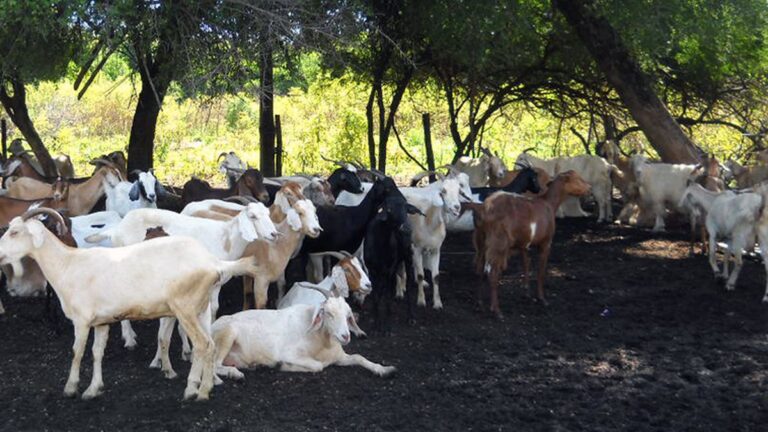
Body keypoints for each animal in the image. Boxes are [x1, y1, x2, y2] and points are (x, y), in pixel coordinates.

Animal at [0, 208, 260, 400]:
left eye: (15, 232)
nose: (0, 253)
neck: (68, 264)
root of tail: (212, 262)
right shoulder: (101, 322)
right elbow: (97, 353)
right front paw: (94, 389)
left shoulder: (82, 320)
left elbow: (77, 352)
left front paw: (71, 388)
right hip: (201, 309)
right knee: (211, 346)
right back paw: (204, 386)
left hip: (185, 308)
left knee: (203, 345)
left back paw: (197, 391)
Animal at [465, 171, 590, 318]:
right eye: (578, 179)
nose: (589, 187)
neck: (548, 204)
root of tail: (483, 207)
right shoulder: (546, 242)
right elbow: (541, 271)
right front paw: (542, 299)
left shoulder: (524, 244)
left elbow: (526, 264)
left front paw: (526, 292)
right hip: (498, 243)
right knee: (492, 273)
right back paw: (497, 311)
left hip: (482, 241)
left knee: (480, 269)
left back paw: (479, 304)